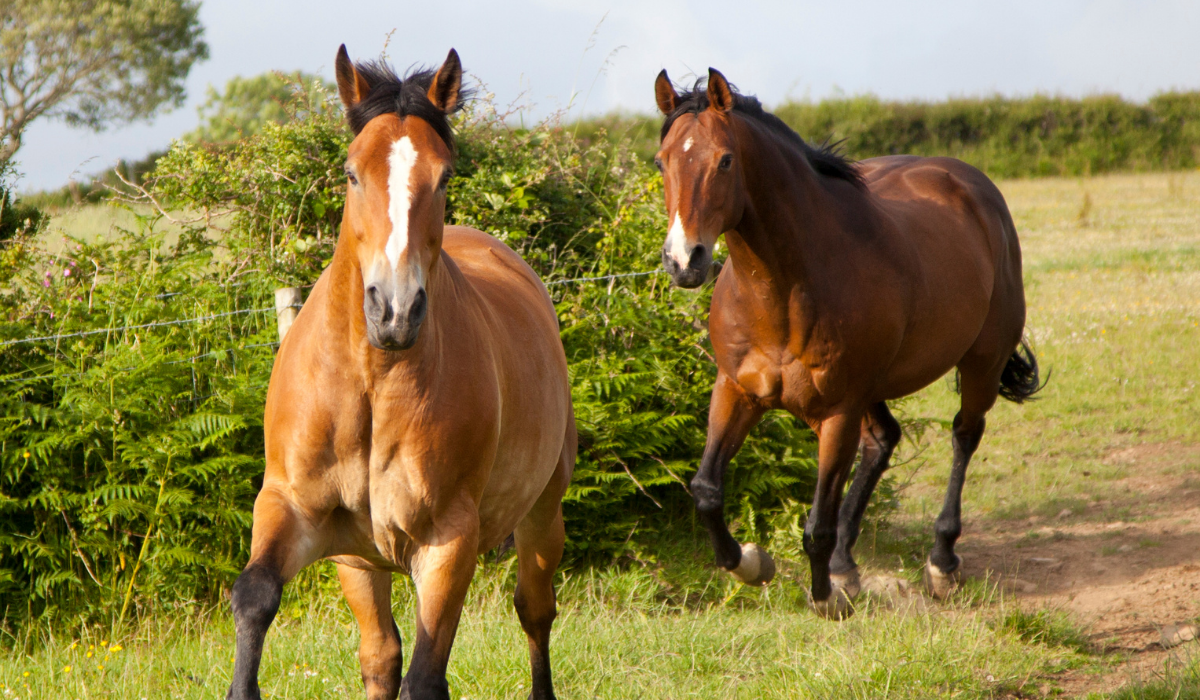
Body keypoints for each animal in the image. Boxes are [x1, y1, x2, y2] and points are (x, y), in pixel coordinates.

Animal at [226, 46, 576, 700]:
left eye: (445, 176)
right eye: (351, 173)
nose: (393, 309)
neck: (371, 378)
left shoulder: (447, 542)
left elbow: (426, 676)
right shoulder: (295, 510)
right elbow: (256, 596)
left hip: (543, 513)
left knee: (535, 613)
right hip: (362, 560)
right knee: (380, 656)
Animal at [652, 67, 1043, 618]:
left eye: (725, 160)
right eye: (662, 161)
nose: (685, 260)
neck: (786, 289)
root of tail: (974, 186)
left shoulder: (836, 411)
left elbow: (816, 522)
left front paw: (824, 598)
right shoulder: (736, 390)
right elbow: (706, 490)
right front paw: (752, 563)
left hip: (980, 364)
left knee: (964, 435)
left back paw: (941, 563)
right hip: (873, 389)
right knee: (883, 441)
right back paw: (846, 564)